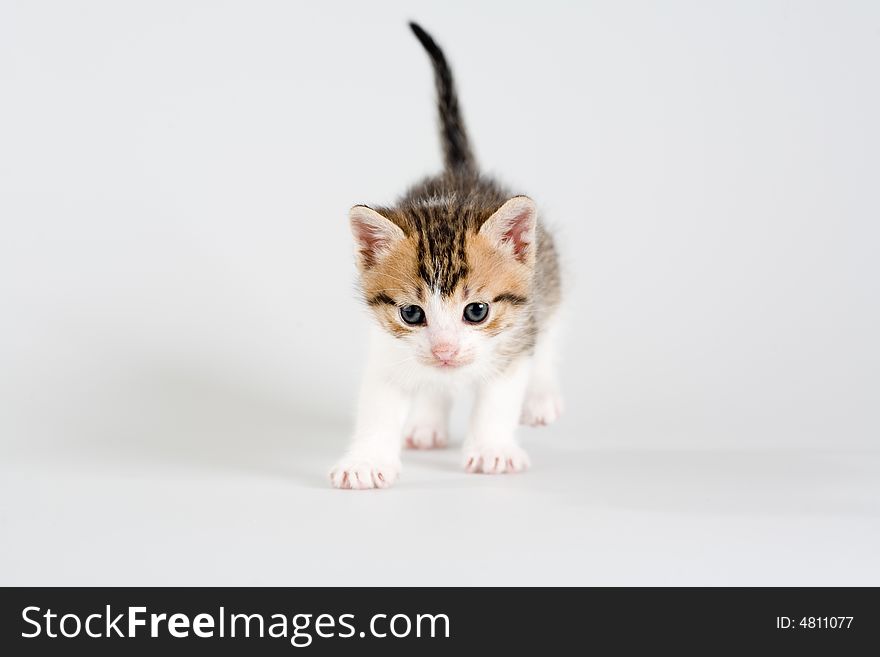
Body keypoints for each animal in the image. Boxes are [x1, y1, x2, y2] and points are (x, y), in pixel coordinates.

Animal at [330, 21, 564, 486]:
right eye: (411, 313)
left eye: (476, 311)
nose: (444, 352)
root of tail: (461, 171)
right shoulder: (388, 349)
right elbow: (380, 406)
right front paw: (366, 462)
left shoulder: (513, 343)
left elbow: (497, 400)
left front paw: (492, 450)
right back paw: (427, 422)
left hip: (546, 272)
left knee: (547, 328)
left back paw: (542, 397)